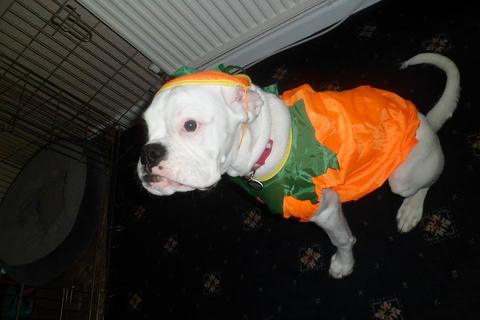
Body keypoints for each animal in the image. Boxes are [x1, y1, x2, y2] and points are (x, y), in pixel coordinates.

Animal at [137, 52, 460, 278]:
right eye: (146, 129)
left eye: (190, 125)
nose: (148, 154)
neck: (263, 144)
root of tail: (426, 122)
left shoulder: (326, 212)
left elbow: (342, 240)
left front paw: (344, 264)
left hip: (402, 178)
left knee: (428, 181)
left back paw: (411, 210)